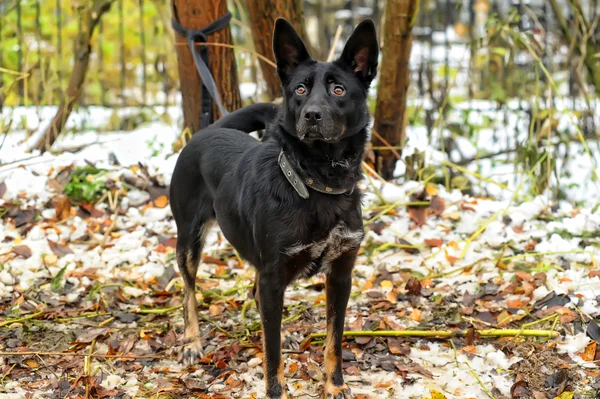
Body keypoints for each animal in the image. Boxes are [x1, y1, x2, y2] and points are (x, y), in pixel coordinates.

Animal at [169, 17, 378, 398]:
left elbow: (334, 340)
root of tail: (208, 129)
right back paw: (192, 341)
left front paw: (334, 384)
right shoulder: (273, 274)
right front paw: (276, 388)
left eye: (339, 91)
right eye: (300, 89)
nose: (312, 115)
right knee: (189, 289)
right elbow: (272, 351)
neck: (317, 182)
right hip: (188, 238)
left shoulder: (341, 274)